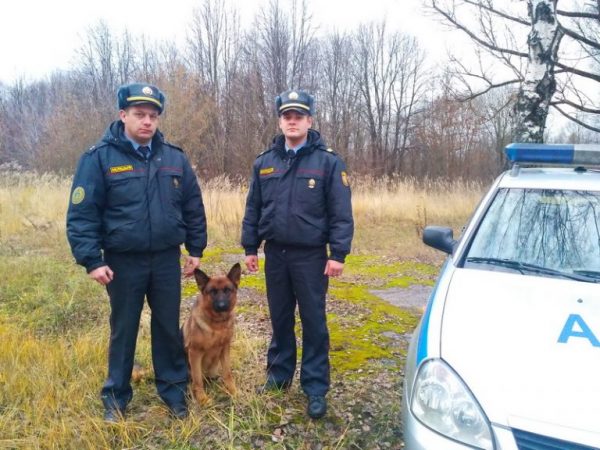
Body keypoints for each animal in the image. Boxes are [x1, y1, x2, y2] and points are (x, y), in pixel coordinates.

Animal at [182, 262, 240, 406]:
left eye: (227, 290)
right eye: (212, 292)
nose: (222, 306)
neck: (217, 325)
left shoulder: (225, 349)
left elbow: (227, 373)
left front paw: (233, 390)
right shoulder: (195, 353)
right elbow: (197, 380)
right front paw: (202, 399)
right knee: (192, 382)